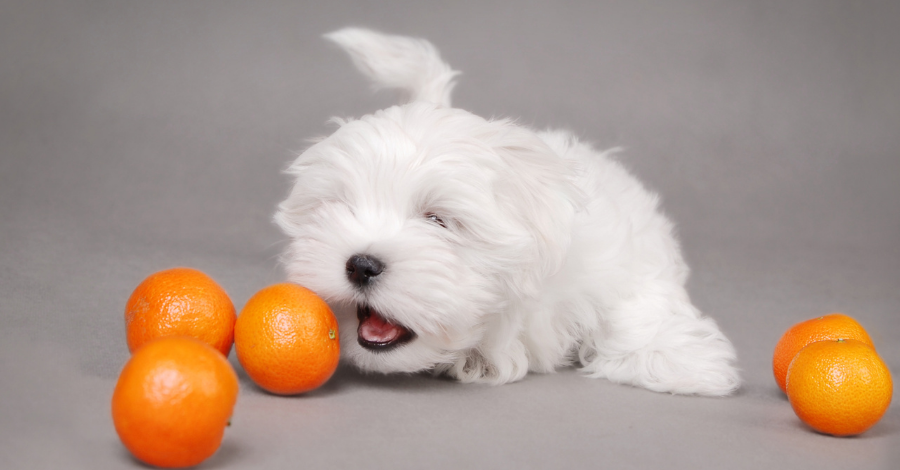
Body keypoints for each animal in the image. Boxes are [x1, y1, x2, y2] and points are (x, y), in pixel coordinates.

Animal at [274, 27, 740, 396]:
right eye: (340, 208)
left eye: (437, 221)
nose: (361, 264)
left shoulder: (621, 253)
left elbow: (635, 301)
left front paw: (678, 358)